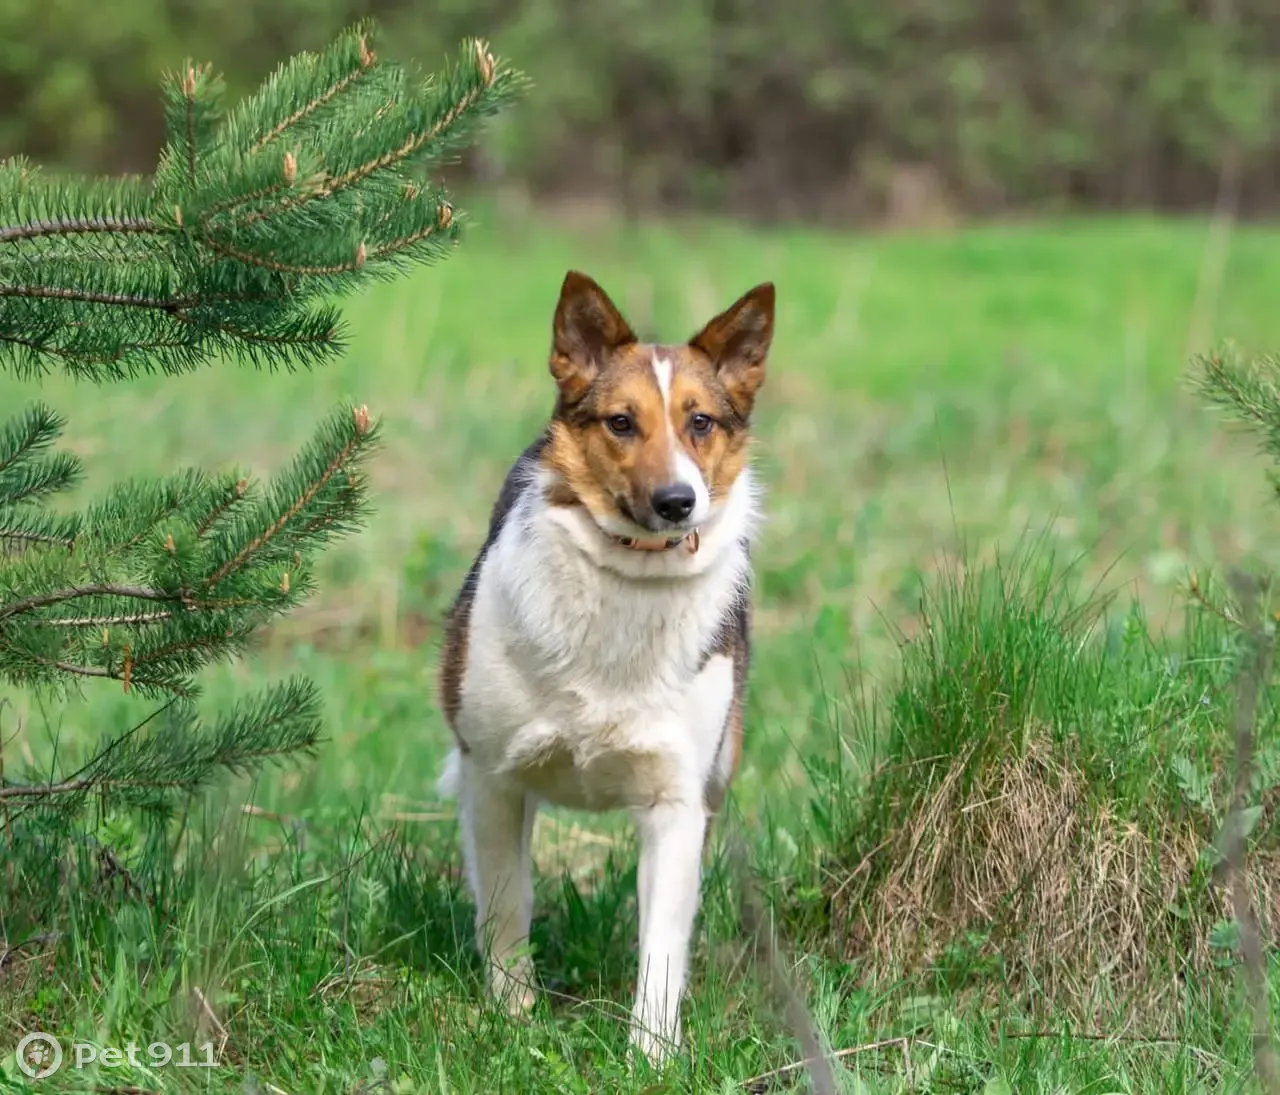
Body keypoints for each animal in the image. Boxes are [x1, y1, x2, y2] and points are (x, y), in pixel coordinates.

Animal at [435, 270, 773, 1065]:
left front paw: (651, 1056)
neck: (628, 577)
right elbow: (505, 905)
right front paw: (513, 1020)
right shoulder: (491, 776)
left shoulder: (678, 801)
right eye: (621, 423)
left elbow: (663, 947)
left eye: (700, 422)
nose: (678, 501)